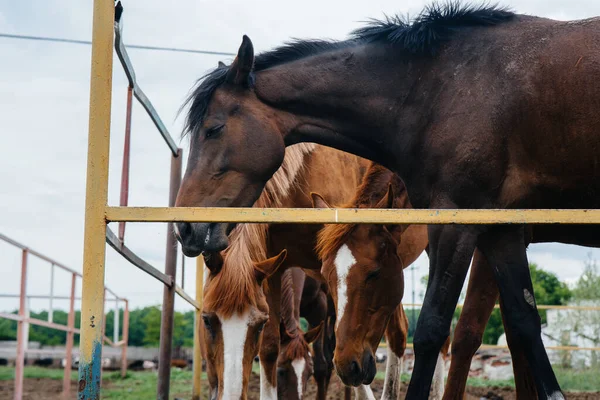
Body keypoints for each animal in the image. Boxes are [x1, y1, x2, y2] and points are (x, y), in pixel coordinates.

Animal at [173, 3, 600, 396]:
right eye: (207, 320)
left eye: (213, 129)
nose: (186, 228)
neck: (439, 91)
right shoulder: (501, 230)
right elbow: (525, 323)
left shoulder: (457, 225)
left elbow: (432, 330)